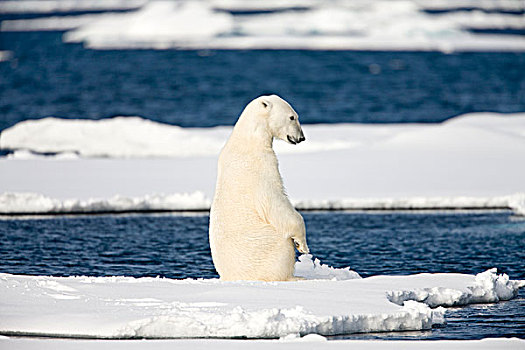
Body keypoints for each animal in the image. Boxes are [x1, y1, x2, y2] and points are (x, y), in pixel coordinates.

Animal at [208, 95, 308, 282]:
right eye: (292, 117)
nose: (302, 137)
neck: (248, 141)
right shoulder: (261, 166)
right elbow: (275, 203)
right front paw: (302, 245)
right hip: (268, 246)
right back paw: (296, 277)